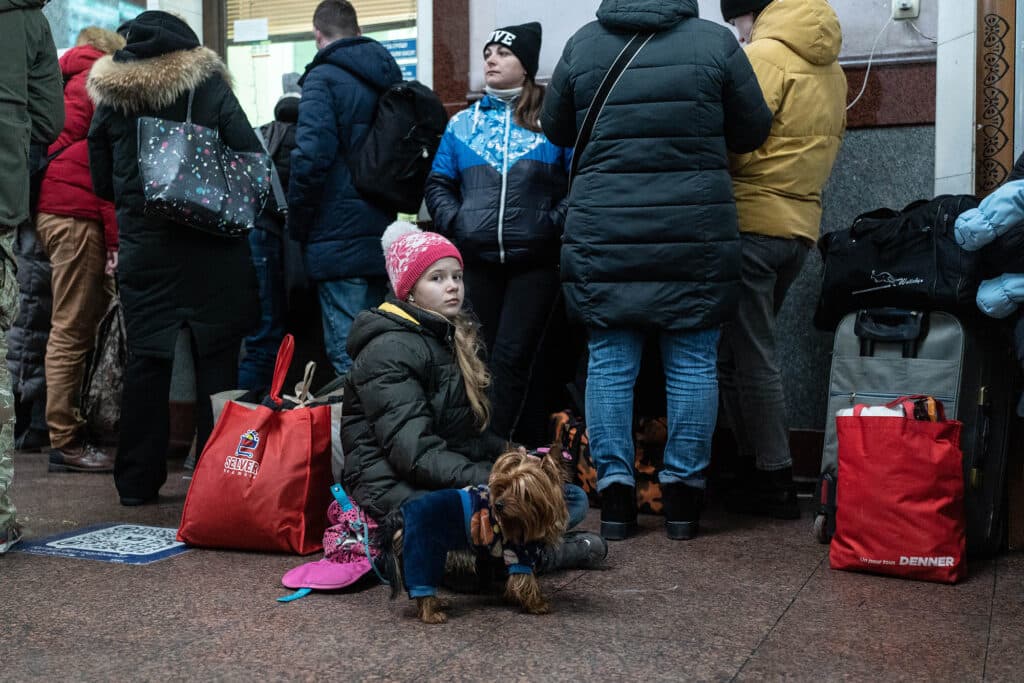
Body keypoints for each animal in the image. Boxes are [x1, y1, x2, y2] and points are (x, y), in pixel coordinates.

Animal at [378, 448, 569, 626]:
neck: (532, 519)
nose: (498, 505)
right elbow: (526, 580)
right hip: (423, 550)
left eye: (521, 492)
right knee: (422, 585)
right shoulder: (520, 552)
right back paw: (430, 614)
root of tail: (403, 513)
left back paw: (437, 603)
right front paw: (537, 604)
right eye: (503, 487)